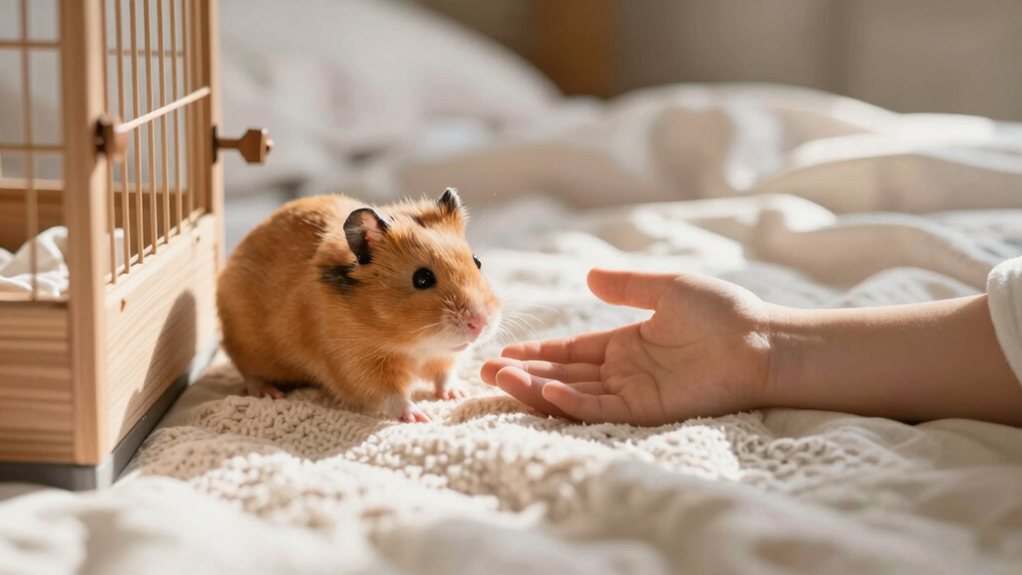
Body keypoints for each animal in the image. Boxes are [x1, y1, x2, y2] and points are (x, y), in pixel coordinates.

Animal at [216, 188, 502, 422]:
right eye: (422, 278)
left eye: (477, 261)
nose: (480, 323)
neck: (414, 345)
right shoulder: (356, 365)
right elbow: (390, 395)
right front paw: (420, 416)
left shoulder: (442, 356)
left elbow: (445, 374)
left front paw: (458, 394)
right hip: (246, 345)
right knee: (249, 372)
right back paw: (270, 393)